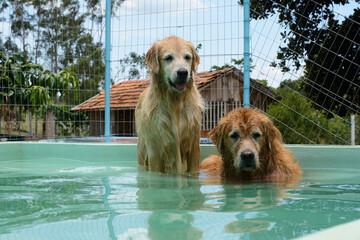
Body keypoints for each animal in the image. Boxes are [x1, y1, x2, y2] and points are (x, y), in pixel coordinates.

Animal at [136, 35, 204, 173]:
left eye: (187, 57)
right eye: (168, 58)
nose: (183, 72)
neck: (175, 100)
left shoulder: (194, 144)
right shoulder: (155, 149)